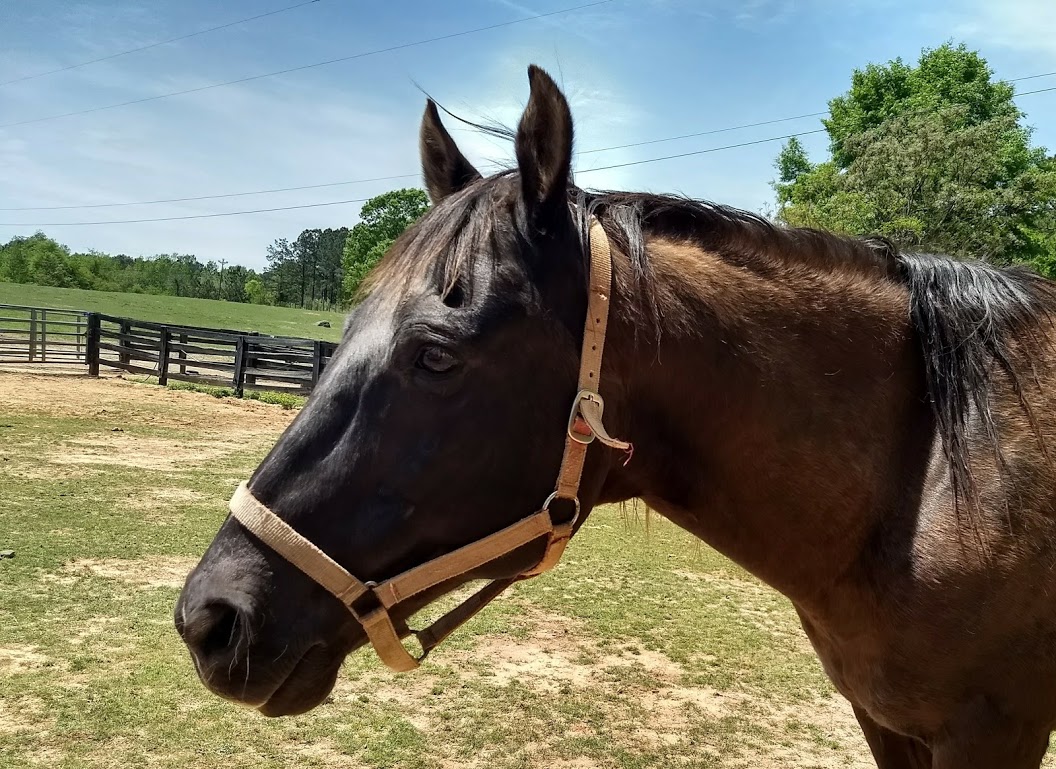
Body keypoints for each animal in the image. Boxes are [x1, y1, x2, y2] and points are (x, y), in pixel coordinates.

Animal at [175, 65, 1056, 768]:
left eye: (436, 356)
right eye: (348, 329)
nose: (207, 618)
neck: (930, 475)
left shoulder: (991, 731)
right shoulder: (885, 721)